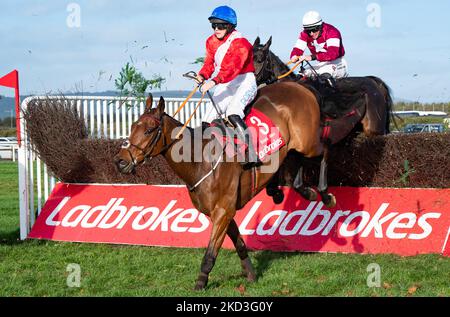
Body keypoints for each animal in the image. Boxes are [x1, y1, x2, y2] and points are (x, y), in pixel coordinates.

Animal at [114, 82, 336, 288]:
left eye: (149, 130)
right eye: (132, 127)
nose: (120, 161)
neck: (200, 160)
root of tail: (299, 85)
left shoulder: (223, 210)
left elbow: (210, 254)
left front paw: (200, 283)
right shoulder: (222, 212)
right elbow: (240, 244)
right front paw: (251, 275)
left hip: (308, 142)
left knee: (326, 148)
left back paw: (325, 193)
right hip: (294, 147)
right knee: (295, 162)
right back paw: (298, 190)